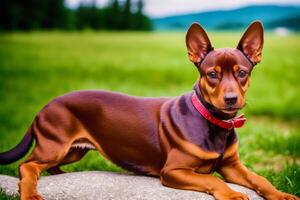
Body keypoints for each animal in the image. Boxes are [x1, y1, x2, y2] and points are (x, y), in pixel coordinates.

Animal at [0, 21, 298, 199]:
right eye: (212, 74)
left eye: (242, 73)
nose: (231, 99)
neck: (214, 122)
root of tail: (43, 108)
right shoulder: (174, 171)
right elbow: (214, 181)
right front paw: (233, 194)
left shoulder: (232, 166)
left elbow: (260, 179)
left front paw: (281, 195)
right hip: (56, 145)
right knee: (28, 166)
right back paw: (30, 192)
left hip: (73, 150)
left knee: (47, 167)